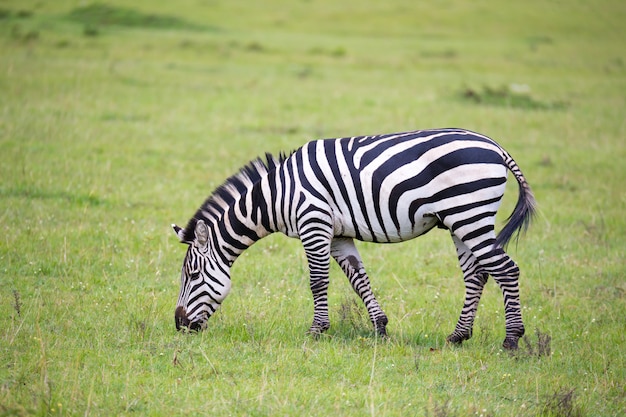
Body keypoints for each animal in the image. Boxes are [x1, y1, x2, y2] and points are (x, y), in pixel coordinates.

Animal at [173, 128, 532, 350]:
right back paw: (458, 336)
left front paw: (316, 330)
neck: (275, 197)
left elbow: (318, 281)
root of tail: (495, 146)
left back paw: (512, 339)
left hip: (469, 213)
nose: (179, 326)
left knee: (506, 270)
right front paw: (380, 327)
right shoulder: (338, 234)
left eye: (192, 275)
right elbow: (359, 279)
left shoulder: (313, 221)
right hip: (459, 220)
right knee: (476, 274)